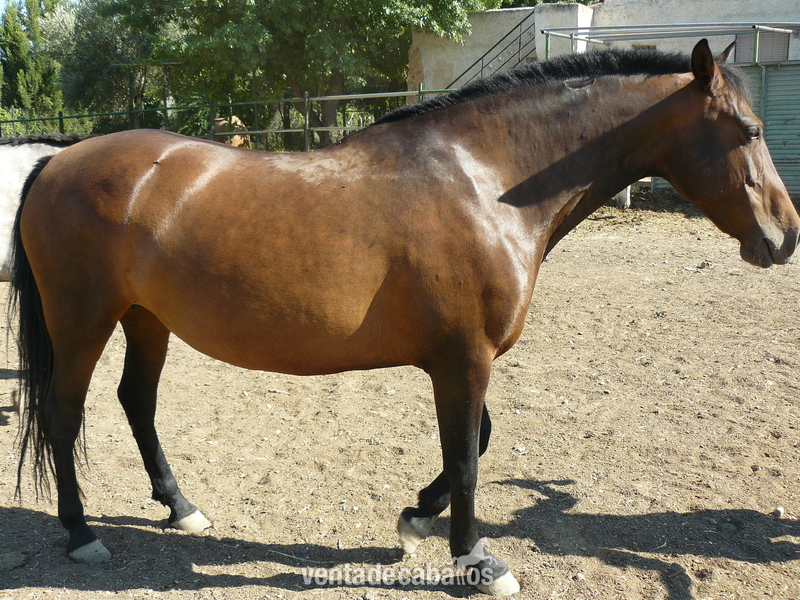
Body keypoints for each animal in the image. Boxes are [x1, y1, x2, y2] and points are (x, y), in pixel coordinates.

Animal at [10, 40, 799, 596]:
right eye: (750, 129)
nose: (786, 235)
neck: (486, 182)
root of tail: (55, 162)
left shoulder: (459, 359)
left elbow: (476, 443)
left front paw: (417, 516)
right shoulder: (463, 359)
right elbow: (469, 457)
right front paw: (476, 560)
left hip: (147, 318)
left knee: (135, 403)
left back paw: (181, 507)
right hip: (83, 321)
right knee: (64, 414)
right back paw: (81, 533)